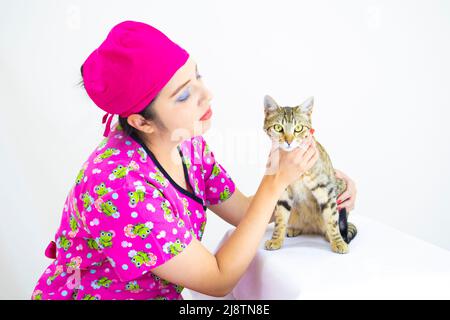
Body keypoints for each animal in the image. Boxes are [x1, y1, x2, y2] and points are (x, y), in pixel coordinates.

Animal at [262, 94, 356, 254]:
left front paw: (338, 242)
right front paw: (276, 240)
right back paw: (294, 229)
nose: (289, 141)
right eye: (278, 128)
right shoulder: (282, 192)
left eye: (298, 128)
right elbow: (280, 219)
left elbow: (332, 219)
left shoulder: (326, 189)